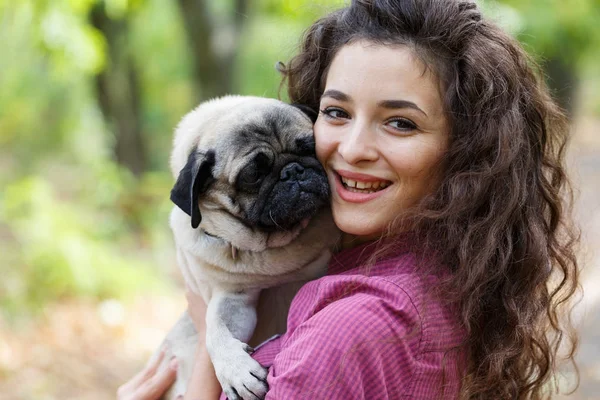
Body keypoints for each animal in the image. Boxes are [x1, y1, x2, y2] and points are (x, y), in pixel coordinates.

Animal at [155, 96, 340, 400]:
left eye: (309, 147)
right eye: (253, 174)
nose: (293, 170)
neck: (277, 242)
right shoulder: (232, 296)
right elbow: (215, 329)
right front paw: (235, 370)